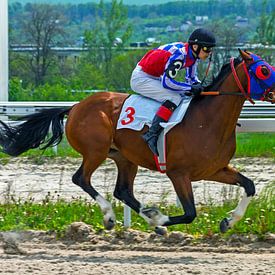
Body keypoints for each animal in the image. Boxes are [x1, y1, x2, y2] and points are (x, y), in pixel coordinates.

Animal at [0, 50, 275, 235]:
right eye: (264, 70)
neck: (207, 120)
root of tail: (75, 106)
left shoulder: (214, 169)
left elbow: (249, 185)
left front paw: (228, 221)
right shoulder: (178, 173)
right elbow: (189, 213)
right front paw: (160, 220)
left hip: (124, 157)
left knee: (122, 190)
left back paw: (147, 216)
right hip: (96, 150)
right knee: (81, 179)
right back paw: (113, 216)